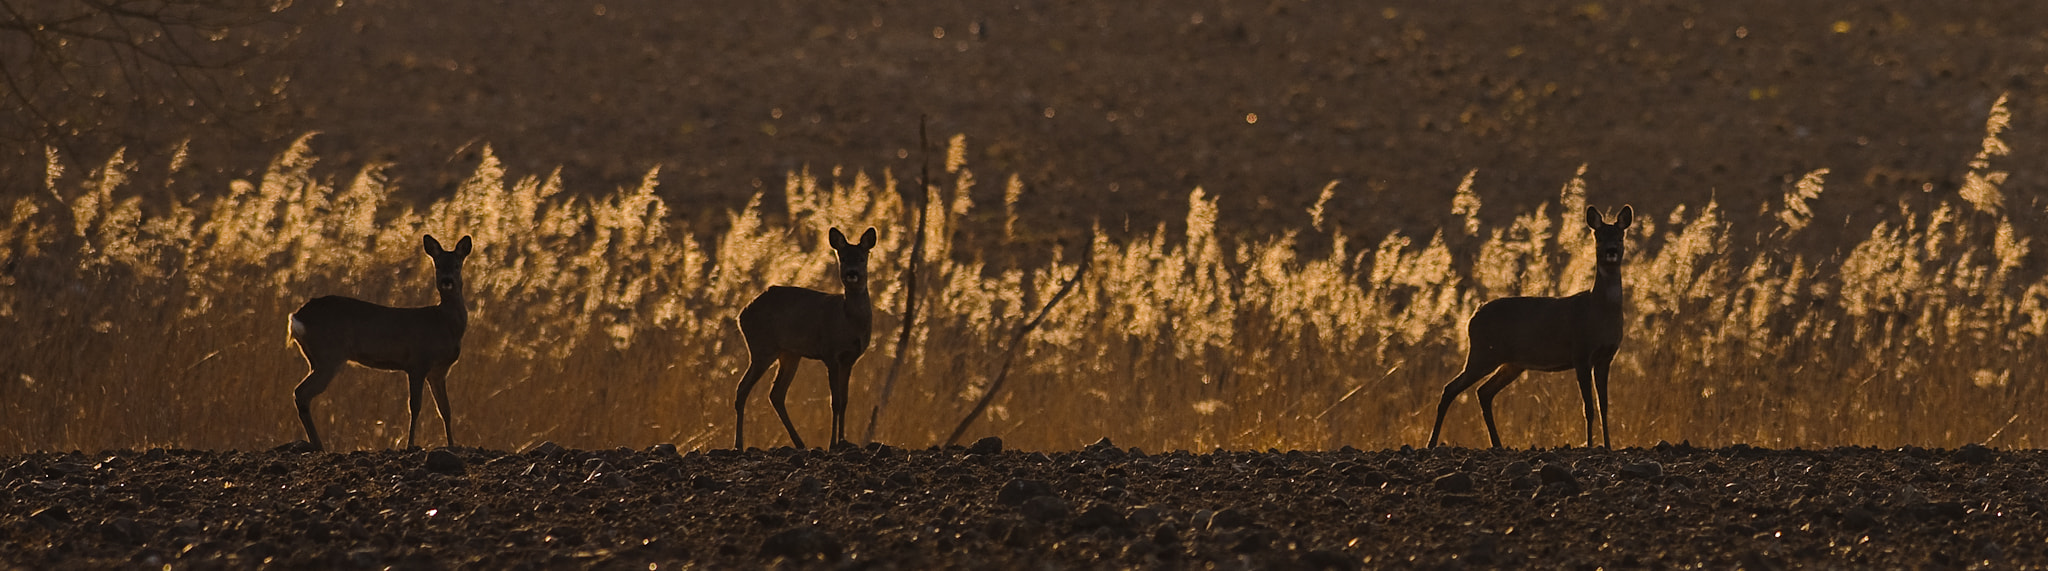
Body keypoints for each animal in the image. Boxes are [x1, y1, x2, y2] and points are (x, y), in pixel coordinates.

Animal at [287, 234, 472, 451]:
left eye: (457, 265)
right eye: (438, 265)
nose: (447, 281)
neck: (444, 323)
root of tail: (297, 317)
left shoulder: (439, 371)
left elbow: (445, 409)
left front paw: (452, 445)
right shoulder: (418, 362)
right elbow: (415, 406)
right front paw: (410, 445)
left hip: (315, 358)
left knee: (302, 393)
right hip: (329, 355)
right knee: (301, 392)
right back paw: (319, 446)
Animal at [733, 227, 878, 450]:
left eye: (862, 258)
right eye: (843, 257)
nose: (851, 273)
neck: (847, 320)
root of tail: (741, 314)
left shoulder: (850, 359)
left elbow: (845, 401)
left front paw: (844, 441)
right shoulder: (830, 354)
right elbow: (835, 401)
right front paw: (833, 444)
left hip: (789, 354)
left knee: (776, 394)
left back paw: (800, 443)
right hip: (762, 348)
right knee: (743, 389)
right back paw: (739, 445)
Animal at [1428, 205, 1632, 449]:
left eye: (1620, 237)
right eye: (1598, 237)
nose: (1611, 251)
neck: (1599, 312)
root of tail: (1473, 316)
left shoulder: (1605, 357)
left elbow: (1604, 406)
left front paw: (1608, 446)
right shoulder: (1581, 353)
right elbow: (1589, 407)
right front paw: (1590, 445)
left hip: (1511, 363)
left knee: (1483, 392)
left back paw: (1497, 444)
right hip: (1482, 354)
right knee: (1451, 388)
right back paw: (1431, 442)